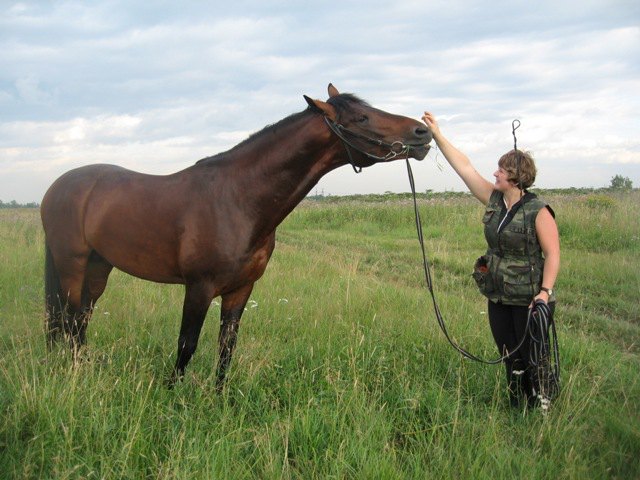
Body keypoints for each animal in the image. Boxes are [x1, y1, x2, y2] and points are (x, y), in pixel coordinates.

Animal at [42, 83, 432, 390]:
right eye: (363, 118)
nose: (422, 133)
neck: (237, 199)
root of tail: (57, 186)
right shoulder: (199, 287)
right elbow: (186, 344)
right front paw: (170, 396)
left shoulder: (241, 289)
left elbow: (226, 347)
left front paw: (219, 399)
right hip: (72, 264)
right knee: (67, 318)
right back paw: (71, 372)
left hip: (99, 266)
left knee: (81, 318)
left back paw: (85, 366)